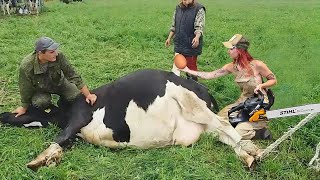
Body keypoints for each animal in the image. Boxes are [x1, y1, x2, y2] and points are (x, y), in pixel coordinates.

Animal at [0, 69, 260, 170]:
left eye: (25, 109)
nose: (2, 114)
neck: (65, 112)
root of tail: (202, 87)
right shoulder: (77, 133)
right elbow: (63, 143)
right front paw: (51, 158)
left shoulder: (79, 117)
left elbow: (59, 137)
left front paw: (37, 161)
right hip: (202, 126)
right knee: (224, 135)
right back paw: (248, 156)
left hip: (190, 103)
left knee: (225, 125)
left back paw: (254, 153)